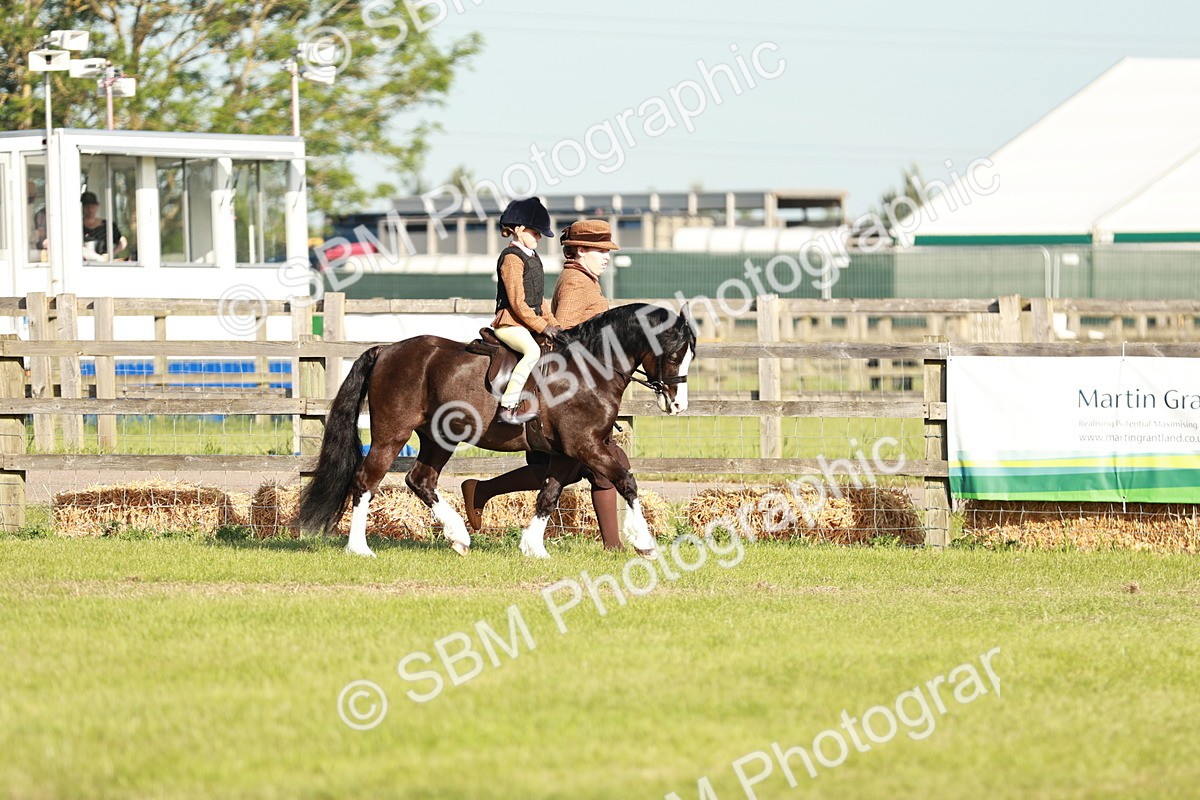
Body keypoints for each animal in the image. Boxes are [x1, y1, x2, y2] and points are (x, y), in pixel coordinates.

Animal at [298, 303, 696, 559]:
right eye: (675, 354)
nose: (678, 405)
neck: (590, 369)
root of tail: (386, 350)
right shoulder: (586, 446)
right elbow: (626, 482)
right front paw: (644, 542)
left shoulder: (567, 453)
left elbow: (548, 494)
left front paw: (533, 548)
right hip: (392, 435)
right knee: (367, 480)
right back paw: (360, 548)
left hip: (439, 437)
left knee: (421, 480)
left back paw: (459, 536)